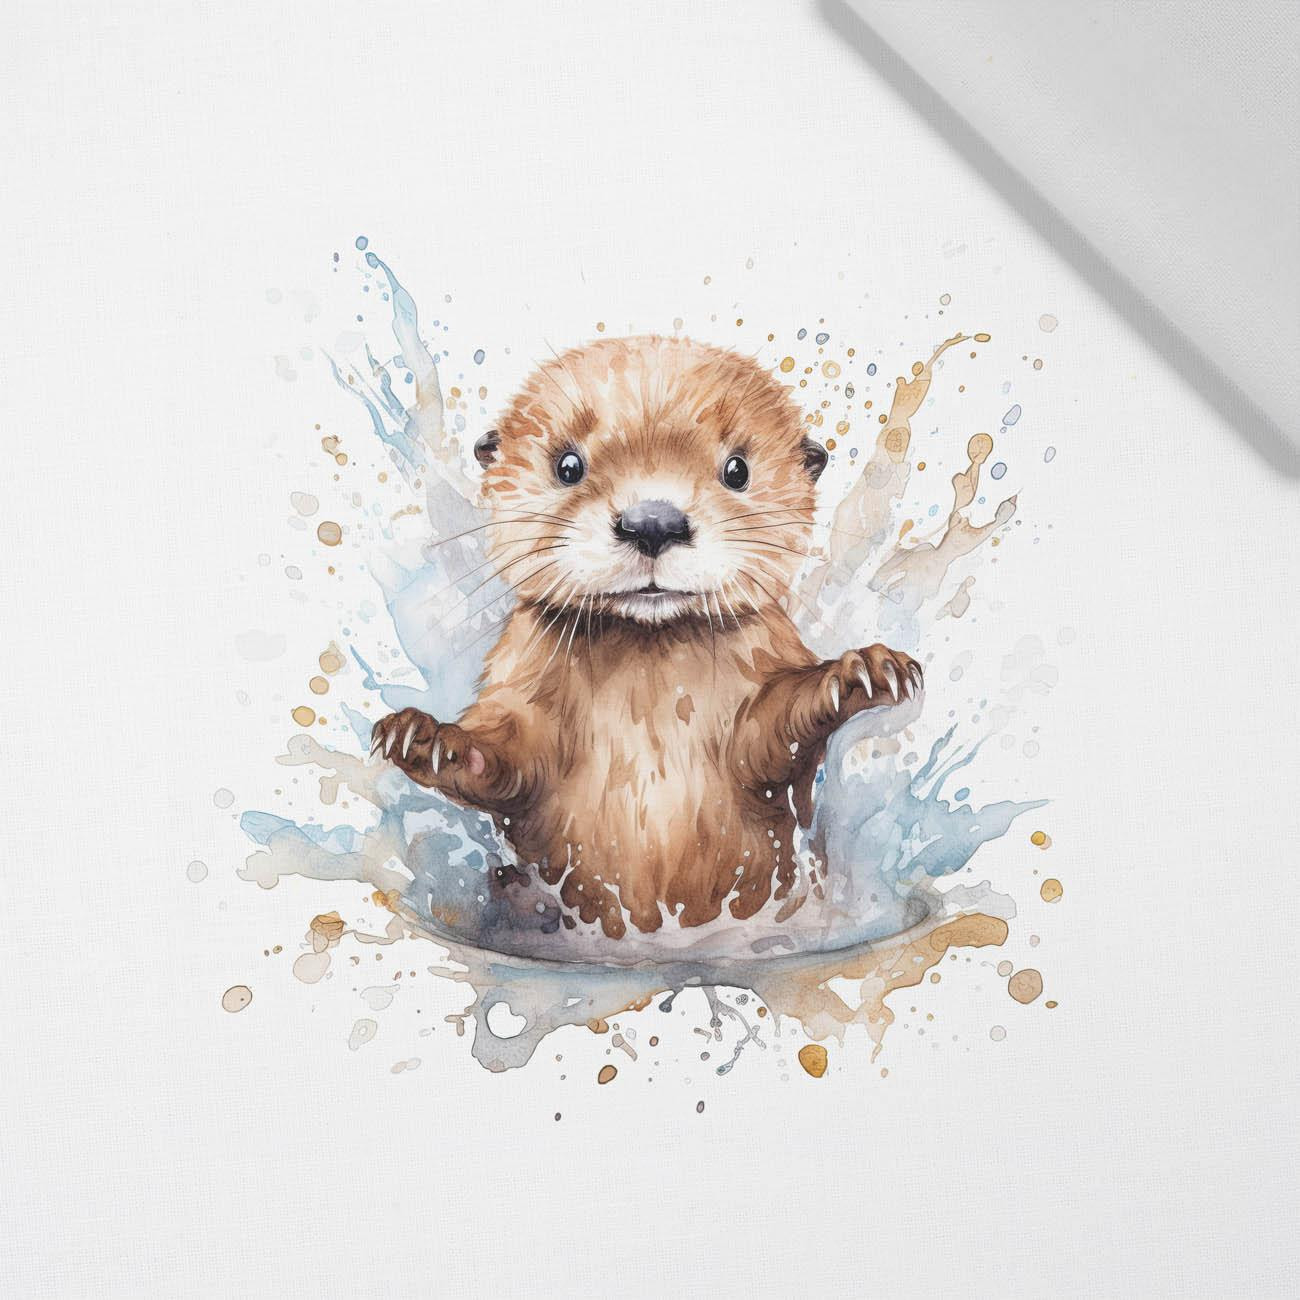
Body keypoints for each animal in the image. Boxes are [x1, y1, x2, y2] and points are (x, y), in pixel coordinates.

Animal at [372, 336, 922, 938]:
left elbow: (774, 728)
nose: (653, 522)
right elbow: (507, 753)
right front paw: (427, 738)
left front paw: (862, 671)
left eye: (736, 469)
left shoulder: (762, 674)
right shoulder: (520, 686)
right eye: (568, 465)